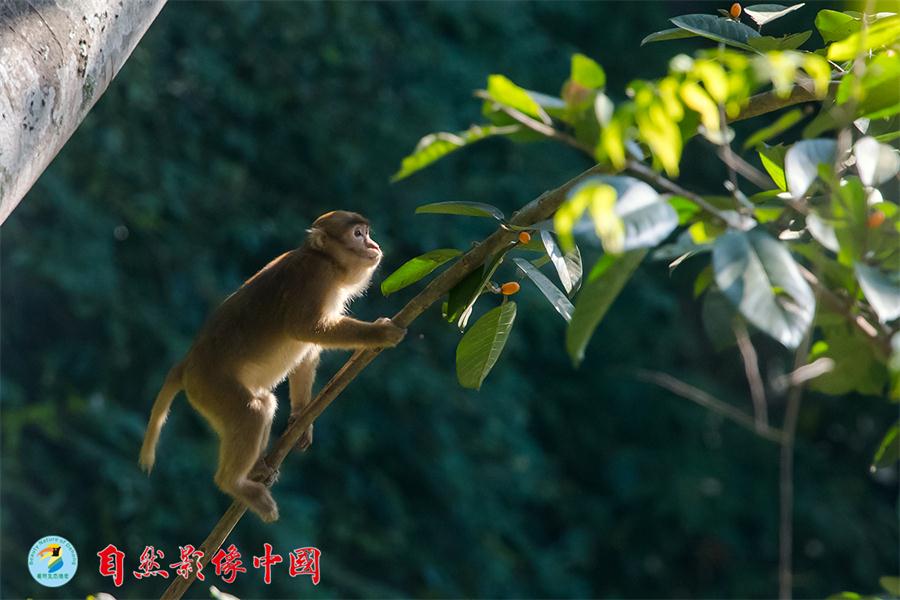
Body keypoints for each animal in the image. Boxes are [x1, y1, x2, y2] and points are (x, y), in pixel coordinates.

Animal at [138, 210, 406, 522]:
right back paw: (234, 484)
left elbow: (307, 353)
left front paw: (301, 417)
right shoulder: (315, 276)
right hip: (209, 385)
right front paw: (379, 333)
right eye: (357, 234)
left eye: (367, 232)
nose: (374, 245)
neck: (325, 259)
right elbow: (306, 329)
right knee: (252, 412)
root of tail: (188, 362)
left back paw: (255, 470)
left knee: (264, 403)